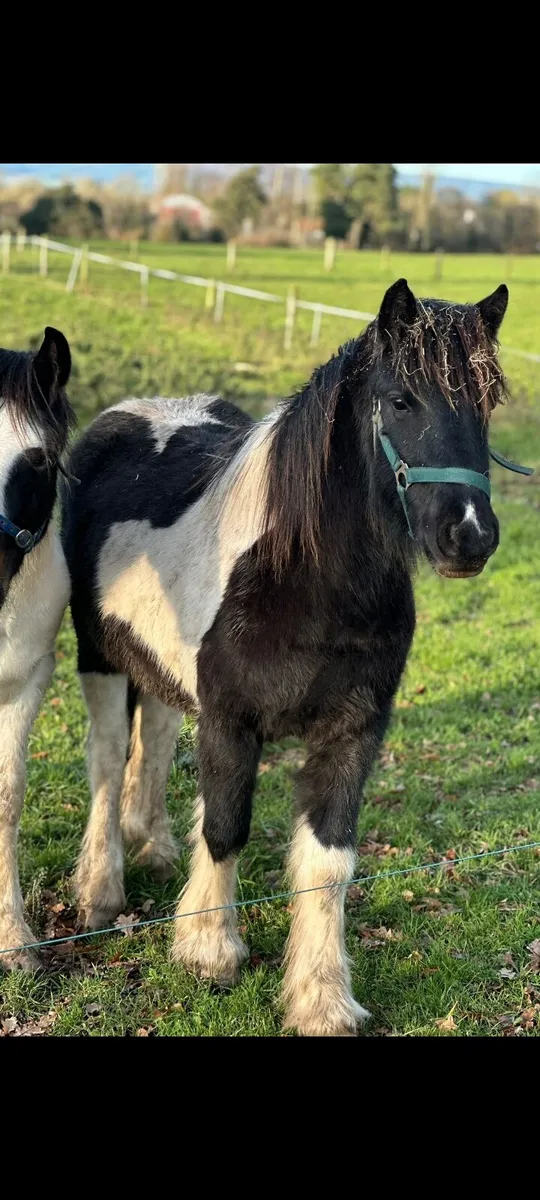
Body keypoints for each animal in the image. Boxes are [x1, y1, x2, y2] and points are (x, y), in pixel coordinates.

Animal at [60, 278, 525, 1035]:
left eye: (486, 402)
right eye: (402, 399)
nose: (469, 535)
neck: (302, 579)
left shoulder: (354, 731)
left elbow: (328, 862)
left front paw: (321, 997)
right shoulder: (230, 721)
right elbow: (225, 827)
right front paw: (209, 950)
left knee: (152, 737)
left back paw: (154, 846)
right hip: (97, 657)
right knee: (107, 760)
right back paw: (101, 889)